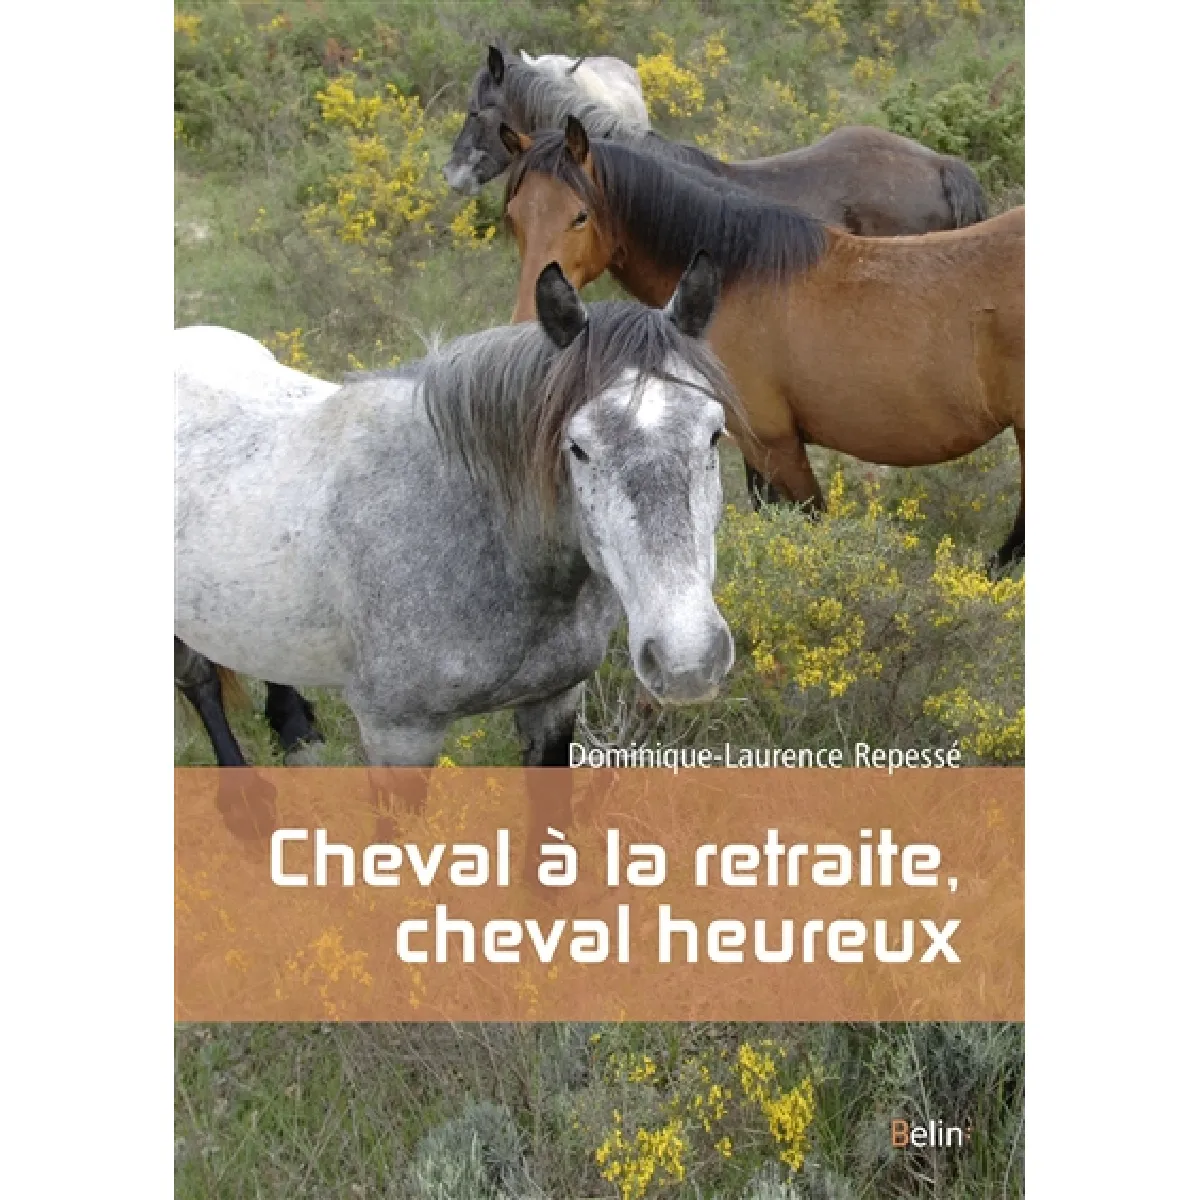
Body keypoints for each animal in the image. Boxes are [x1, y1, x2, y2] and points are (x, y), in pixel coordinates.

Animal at [175, 257, 741, 853]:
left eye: (713, 434)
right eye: (578, 448)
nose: (688, 661)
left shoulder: (554, 703)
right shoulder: (397, 736)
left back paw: (295, 730)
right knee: (199, 681)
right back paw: (245, 803)